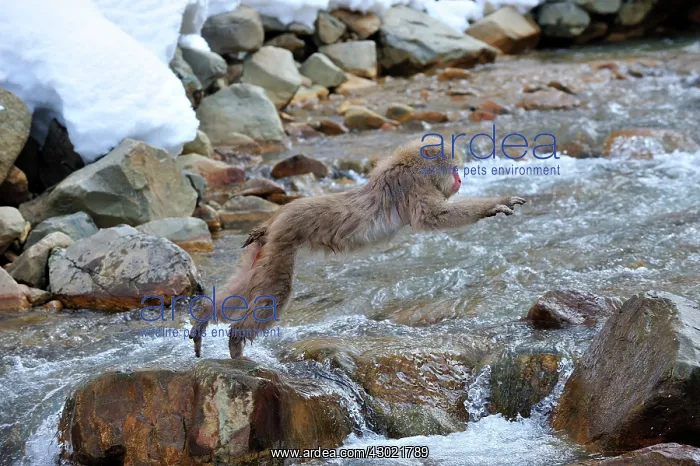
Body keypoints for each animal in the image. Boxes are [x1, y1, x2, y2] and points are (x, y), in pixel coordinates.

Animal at [189, 136, 526, 358]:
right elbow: (432, 217)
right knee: (276, 290)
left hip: (265, 247)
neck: (411, 166)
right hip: (283, 241)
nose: (459, 180)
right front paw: (494, 205)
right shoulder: (414, 186)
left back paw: (205, 314)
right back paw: (235, 340)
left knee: (247, 283)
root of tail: (274, 219)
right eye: (454, 169)